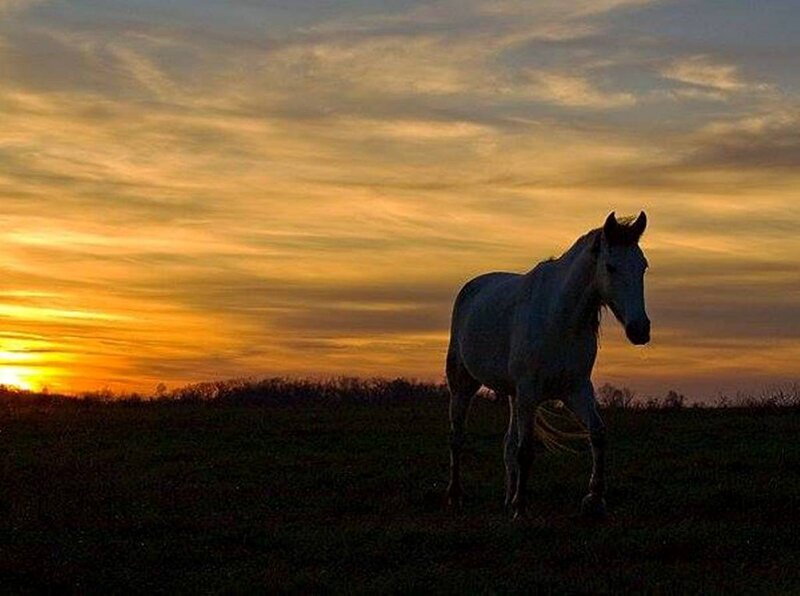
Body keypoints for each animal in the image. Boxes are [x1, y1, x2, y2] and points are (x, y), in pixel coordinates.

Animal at [445, 211, 650, 519]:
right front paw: (521, 508)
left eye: (643, 267)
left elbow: (598, 434)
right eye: (611, 267)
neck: (559, 319)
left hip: (513, 395)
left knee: (507, 445)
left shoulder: (576, 390)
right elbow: (526, 450)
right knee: (458, 438)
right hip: (464, 386)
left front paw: (595, 498)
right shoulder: (530, 392)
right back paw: (456, 496)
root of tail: (472, 287)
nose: (640, 330)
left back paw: (506, 498)